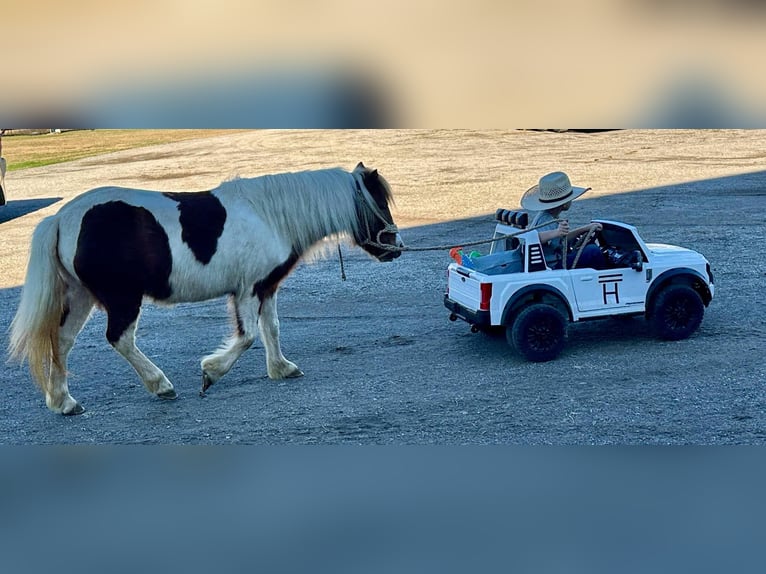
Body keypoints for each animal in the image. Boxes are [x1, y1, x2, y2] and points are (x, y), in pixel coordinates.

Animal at [9, 162, 402, 415]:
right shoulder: (247, 290)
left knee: (61, 342)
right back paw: (161, 385)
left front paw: (282, 368)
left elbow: (272, 329)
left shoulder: (266, 288)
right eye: (378, 204)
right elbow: (247, 337)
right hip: (123, 299)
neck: (269, 216)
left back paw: (64, 403)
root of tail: (61, 219)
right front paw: (210, 374)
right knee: (120, 338)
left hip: (80, 296)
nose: (395, 248)